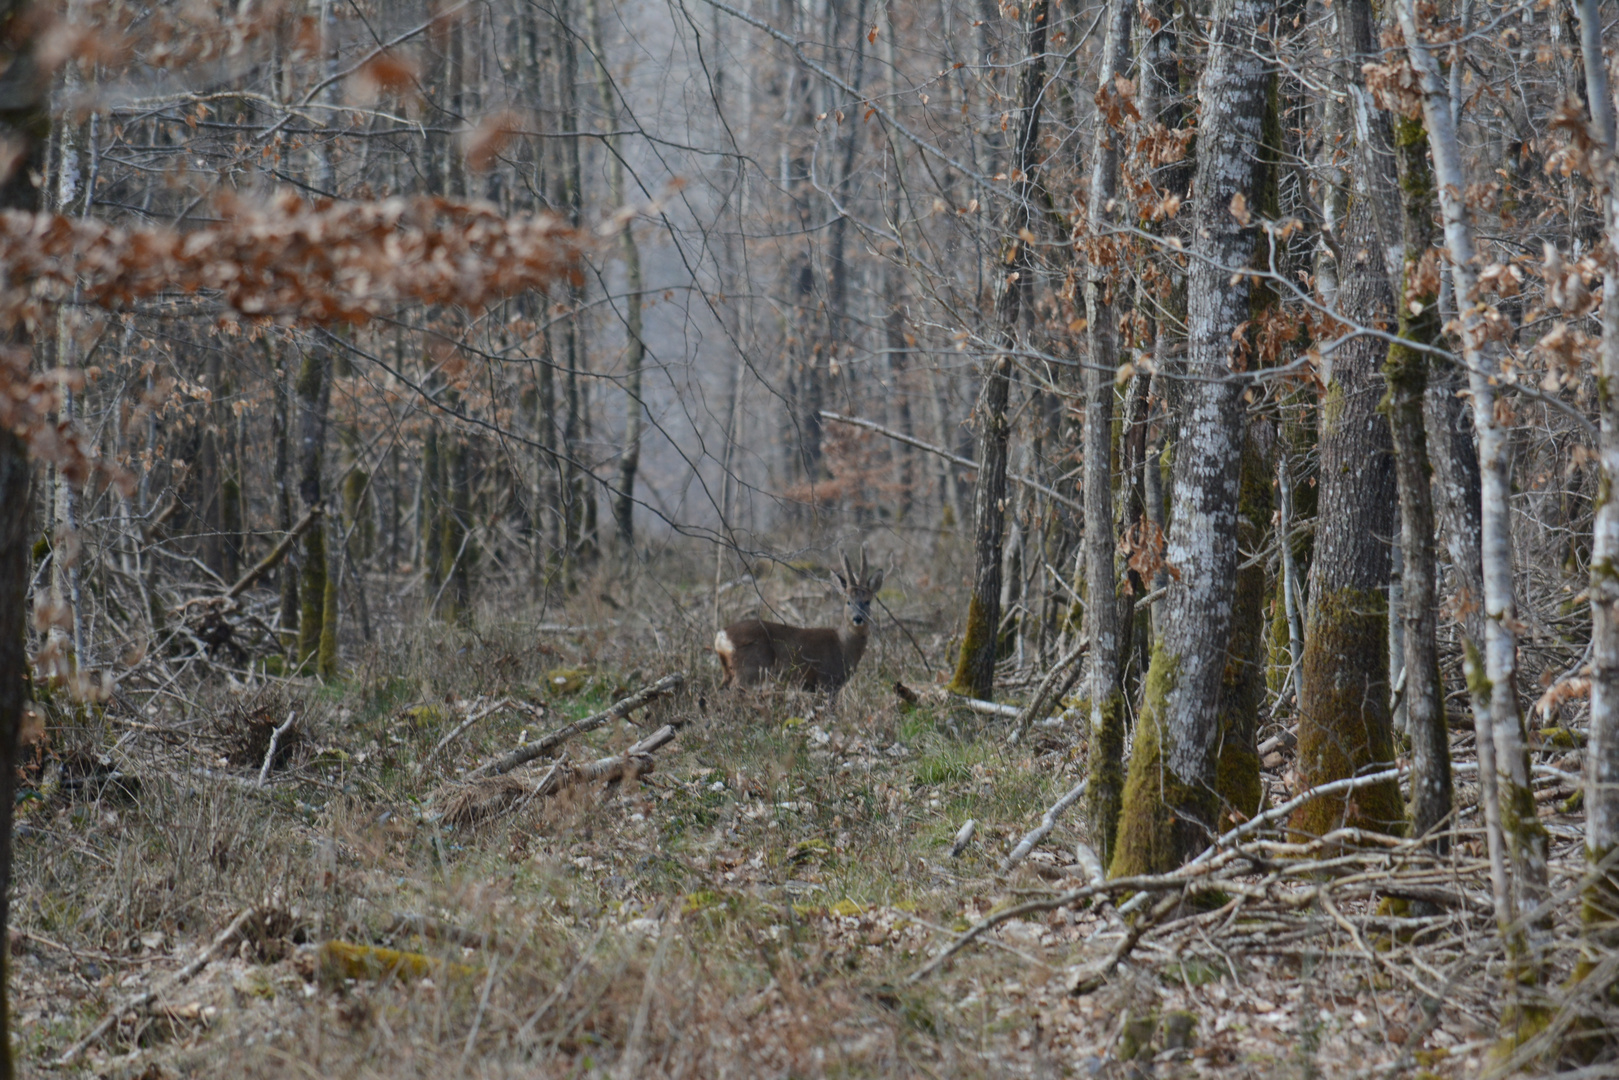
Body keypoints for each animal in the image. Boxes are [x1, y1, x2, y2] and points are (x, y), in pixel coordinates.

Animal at [715, 550, 887, 693]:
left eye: (867, 601)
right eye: (848, 601)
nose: (858, 618)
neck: (843, 645)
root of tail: (722, 635)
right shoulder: (827, 680)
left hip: (730, 670)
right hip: (750, 669)